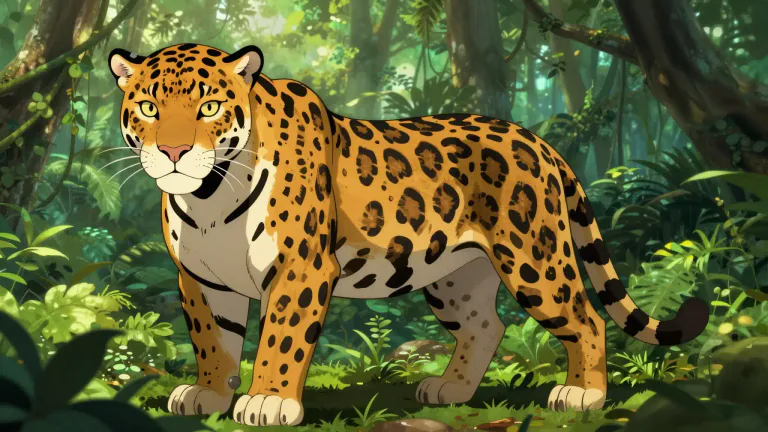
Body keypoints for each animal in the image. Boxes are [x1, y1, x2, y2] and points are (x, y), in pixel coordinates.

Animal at [108, 43, 709, 427]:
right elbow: (213, 341)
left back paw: (581, 394)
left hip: (534, 258)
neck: (209, 199)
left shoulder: (301, 268)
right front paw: (208, 394)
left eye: (210, 106)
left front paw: (268, 402)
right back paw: (451, 390)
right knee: (486, 326)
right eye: (148, 107)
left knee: (585, 319)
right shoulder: (200, 279)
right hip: (455, 275)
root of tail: (538, 140)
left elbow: (280, 338)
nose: (174, 151)